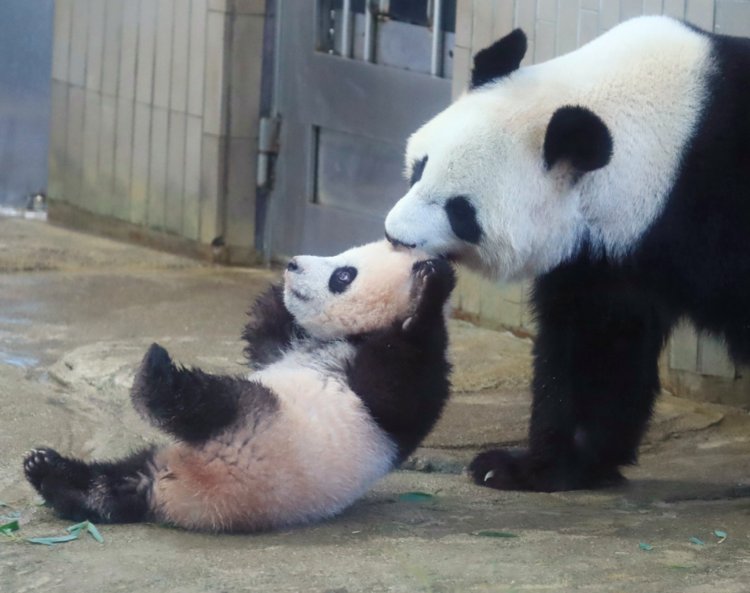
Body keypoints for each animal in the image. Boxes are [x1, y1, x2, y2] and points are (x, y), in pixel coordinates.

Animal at [23, 240, 456, 532]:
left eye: (343, 275)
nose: (293, 264)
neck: (350, 337)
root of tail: (181, 496)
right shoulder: (286, 349)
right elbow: (265, 339)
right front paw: (275, 290)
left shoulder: (392, 393)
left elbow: (402, 385)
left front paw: (431, 287)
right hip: (175, 455)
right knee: (117, 483)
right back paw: (49, 471)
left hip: (257, 427)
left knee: (207, 402)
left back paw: (155, 377)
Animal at [384, 16, 748, 492]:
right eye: (419, 167)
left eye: (461, 211)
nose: (395, 236)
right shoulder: (608, 250)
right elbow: (596, 340)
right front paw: (535, 465)